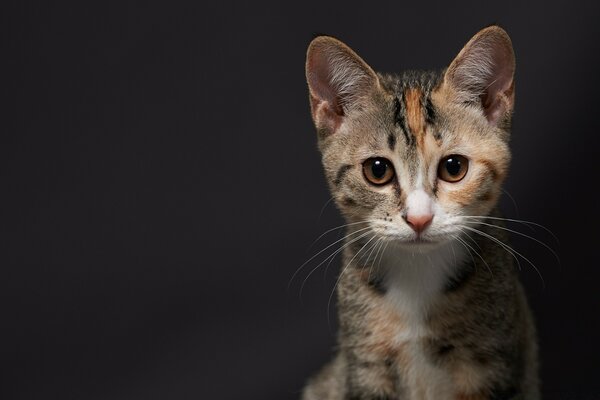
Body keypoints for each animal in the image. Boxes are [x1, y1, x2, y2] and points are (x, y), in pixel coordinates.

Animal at [300, 25, 540, 400]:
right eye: (378, 170)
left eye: (454, 167)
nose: (418, 218)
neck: (417, 275)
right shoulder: (364, 364)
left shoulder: (494, 362)